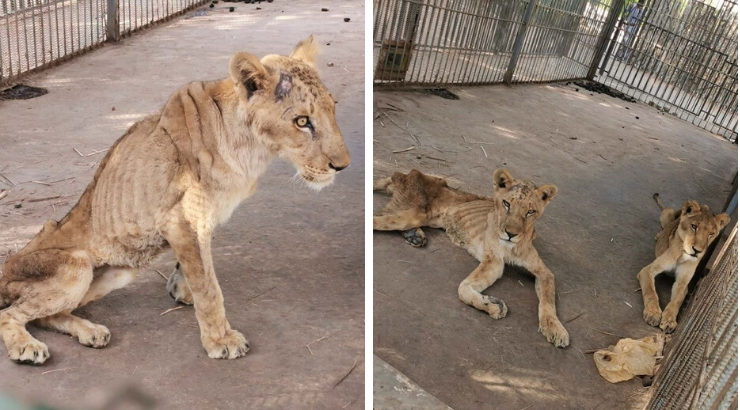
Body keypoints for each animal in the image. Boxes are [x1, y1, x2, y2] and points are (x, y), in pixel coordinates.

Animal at [0, 33, 350, 364]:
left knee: (48, 316)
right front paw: (220, 340)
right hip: (77, 265)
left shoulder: (197, 220)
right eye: (302, 121)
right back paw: (27, 347)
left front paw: (182, 289)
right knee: (11, 314)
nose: (342, 166)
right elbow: (209, 287)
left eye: (333, 109)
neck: (252, 150)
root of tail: (5, 266)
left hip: (120, 272)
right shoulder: (184, 220)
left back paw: (91, 332)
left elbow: (196, 268)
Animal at [376, 168, 572, 348]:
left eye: (531, 211)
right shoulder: (494, 262)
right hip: (414, 214)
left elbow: (548, 301)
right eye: (506, 204)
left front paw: (555, 329)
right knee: (376, 218)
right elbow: (463, 288)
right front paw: (492, 305)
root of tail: (406, 173)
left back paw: (414, 236)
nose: (510, 234)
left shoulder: (544, 272)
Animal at [636, 193, 728, 334]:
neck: (682, 254)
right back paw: (659, 235)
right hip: (667, 213)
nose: (697, 251)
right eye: (694, 226)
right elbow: (650, 291)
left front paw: (669, 321)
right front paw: (653, 314)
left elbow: (677, 300)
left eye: (711, 234)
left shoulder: (683, 283)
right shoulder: (647, 270)